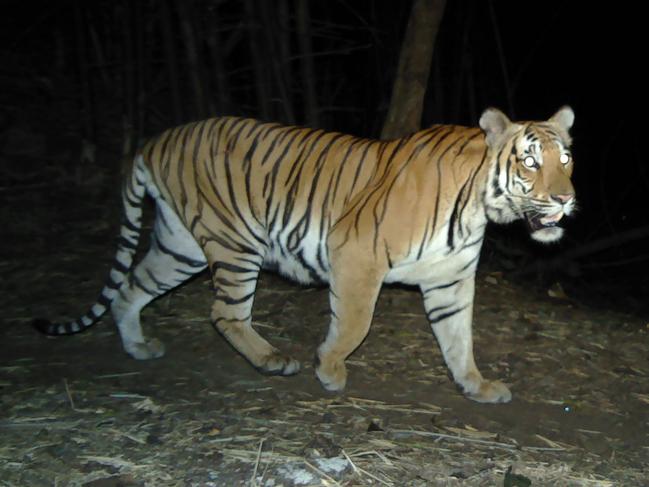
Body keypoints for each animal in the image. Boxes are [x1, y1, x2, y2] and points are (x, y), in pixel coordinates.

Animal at [33, 107, 576, 404]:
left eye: (566, 159)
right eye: (530, 162)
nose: (566, 199)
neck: (478, 208)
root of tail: (155, 140)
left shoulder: (450, 281)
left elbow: (459, 339)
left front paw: (475, 386)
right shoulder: (356, 254)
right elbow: (354, 323)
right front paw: (329, 368)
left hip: (179, 244)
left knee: (130, 289)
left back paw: (138, 347)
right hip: (235, 243)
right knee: (223, 313)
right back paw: (273, 360)